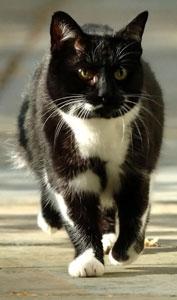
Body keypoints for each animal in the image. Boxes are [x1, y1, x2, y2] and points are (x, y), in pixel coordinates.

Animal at [17, 11, 164, 278]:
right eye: (85, 73)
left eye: (120, 73)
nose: (105, 95)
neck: (98, 129)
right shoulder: (68, 168)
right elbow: (76, 212)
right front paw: (87, 260)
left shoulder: (137, 165)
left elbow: (136, 208)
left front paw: (123, 253)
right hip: (32, 133)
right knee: (43, 174)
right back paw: (50, 220)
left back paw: (108, 239)